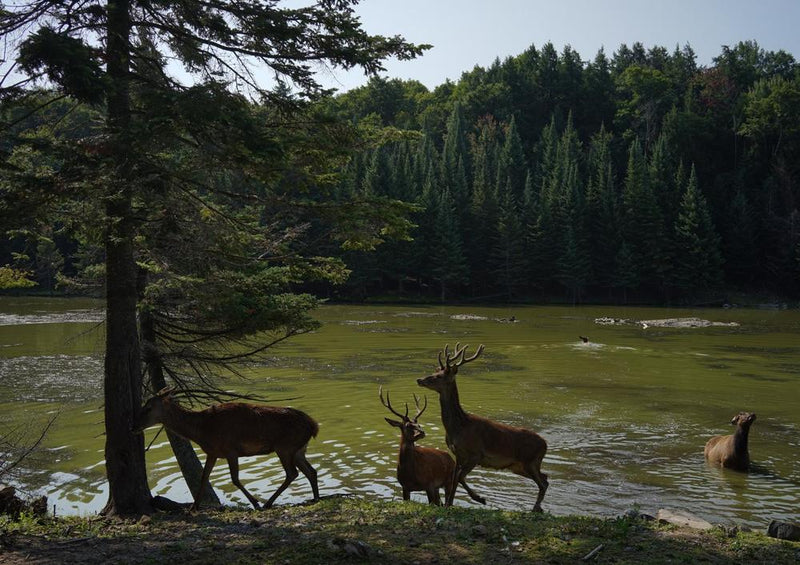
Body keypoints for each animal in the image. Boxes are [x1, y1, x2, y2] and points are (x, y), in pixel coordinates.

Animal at [134, 388, 318, 512]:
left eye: (148, 408)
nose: (133, 426)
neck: (201, 430)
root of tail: (313, 425)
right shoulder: (213, 452)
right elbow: (204, 477)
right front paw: (194, 507)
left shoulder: (231, 450)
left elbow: (234, 479)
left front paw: (255, 503)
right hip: (298, 449)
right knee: (311, 471)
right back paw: (315, 498)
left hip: (285, 447)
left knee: (292, 473)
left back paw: (267, 503)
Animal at [416, 344, 548, 512]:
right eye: (434, 371)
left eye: (439, 376)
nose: (419, 379)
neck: (458, 427)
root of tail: (545, 444)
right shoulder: (458, 454)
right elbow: (454, 479)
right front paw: (449, 504)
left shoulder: (476, 453)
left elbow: (460, 477)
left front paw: (480, 498)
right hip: (519, 466)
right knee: (545, 477)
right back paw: (538, 507)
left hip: (530, 461)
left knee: (543, 482)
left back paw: (535, 508)